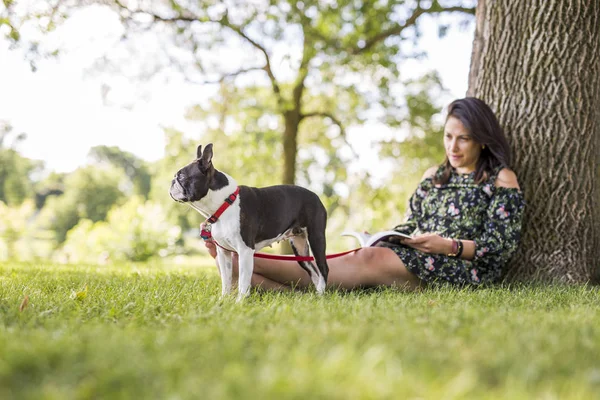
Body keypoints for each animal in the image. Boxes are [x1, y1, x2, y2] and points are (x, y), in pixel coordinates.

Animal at [168, 144, 328, 300]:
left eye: (182, 176)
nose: (172, 181)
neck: (224, 204)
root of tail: (316, 196)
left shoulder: (245, 251)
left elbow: (243, 281)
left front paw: (240, 302)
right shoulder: (223, 253)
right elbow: (226, 279)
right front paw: (223, 300)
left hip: (316, 237)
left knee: (323, 268)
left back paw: (322, 296)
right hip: (300, 249)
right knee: (313, 271)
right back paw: (315, 295)